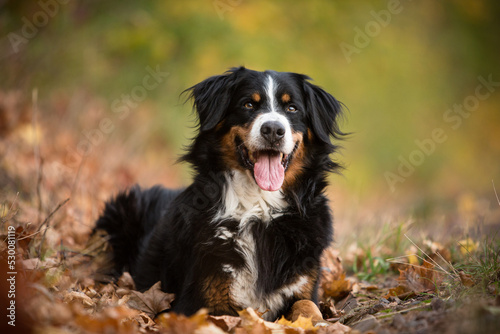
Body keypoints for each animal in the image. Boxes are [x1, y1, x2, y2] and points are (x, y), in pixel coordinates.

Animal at [93, 66, 344, 320]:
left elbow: (308, 307)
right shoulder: (202, 298)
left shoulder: (303, 286)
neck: (259, 209)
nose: (273, 130)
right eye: (248, 104)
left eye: (292, 108)